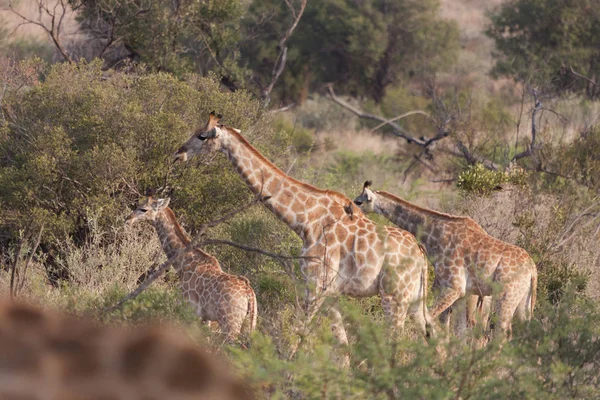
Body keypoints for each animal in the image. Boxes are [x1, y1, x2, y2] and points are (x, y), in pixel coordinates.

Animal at [125, 195, 256, 340]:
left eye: (143, 209)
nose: (128, 219)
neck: (183, 263)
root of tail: (249, 293)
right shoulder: (205, 318)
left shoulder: (188, 308)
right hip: (249, 324)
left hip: (230, 324)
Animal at [173, 112, 436, 340]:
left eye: (202, 136)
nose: (178, 154)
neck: (306, 220)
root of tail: (420, 253)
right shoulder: (330, 291)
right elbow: (341, 345)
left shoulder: (315, 284)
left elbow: (301, 331)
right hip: (414, 300)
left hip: (394, 297)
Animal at [354, 180, 536, 336]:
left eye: (359, 202)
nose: (352, 212)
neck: (436, 234)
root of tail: (533, 269)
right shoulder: (455, 291)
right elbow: (452, 328)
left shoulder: (453, 287)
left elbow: (431, 319)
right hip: (521, 301)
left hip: (505, 297)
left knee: (500, 331)